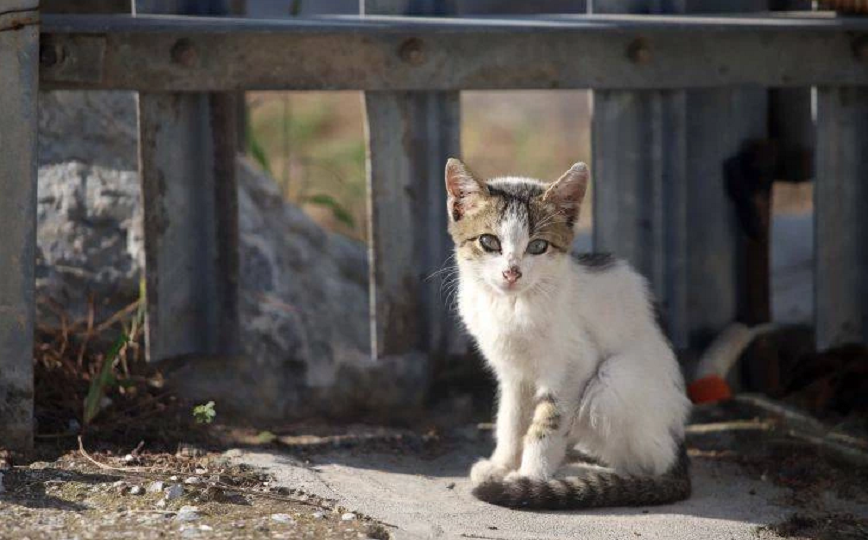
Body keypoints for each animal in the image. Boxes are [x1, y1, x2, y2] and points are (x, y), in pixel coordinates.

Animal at [448, 158, 692, 508]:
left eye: (537, 246)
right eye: (489, 242)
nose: (511, 272)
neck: (512, 306)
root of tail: (680, 447)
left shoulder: (573, 365)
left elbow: (547, 423)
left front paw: (530, 477)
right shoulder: (512, 372)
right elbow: (510, 419)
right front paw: (502, 464)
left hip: (612, 381)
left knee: (647, 463)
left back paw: (579, 474)